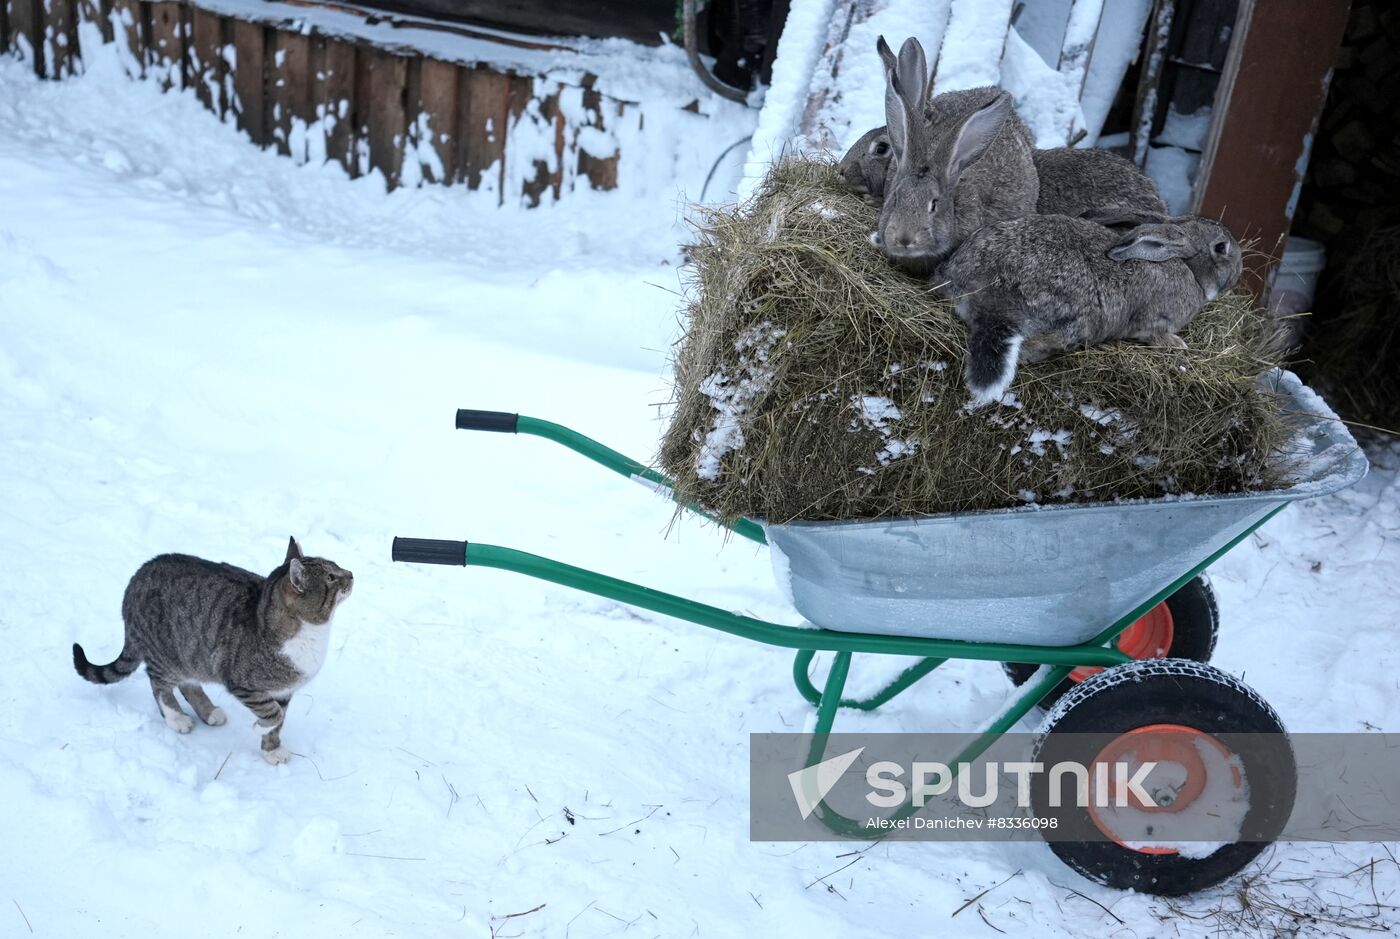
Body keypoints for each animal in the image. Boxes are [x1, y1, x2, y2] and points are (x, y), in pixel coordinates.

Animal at [73, 537, 352, 761]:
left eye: (336, 565)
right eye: (330, 578)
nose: (350, 573)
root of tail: (133, 584)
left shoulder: (284, 692)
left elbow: (278, 720)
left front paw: (271, 750)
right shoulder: (243, 684)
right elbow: (273, 714)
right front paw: (258, 727)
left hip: (192, 654)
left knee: (188, 683)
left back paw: (208, 712)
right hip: (168, 653)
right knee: (158, 682)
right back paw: (176, 718)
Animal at [940, 215, 1248, 405]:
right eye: (1221, 248)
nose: (1239, 269)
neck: (1187, 266)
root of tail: (990, 289)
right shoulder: (1154, 321)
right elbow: (1155, 334)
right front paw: (1178, 344)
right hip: (1076, 319)